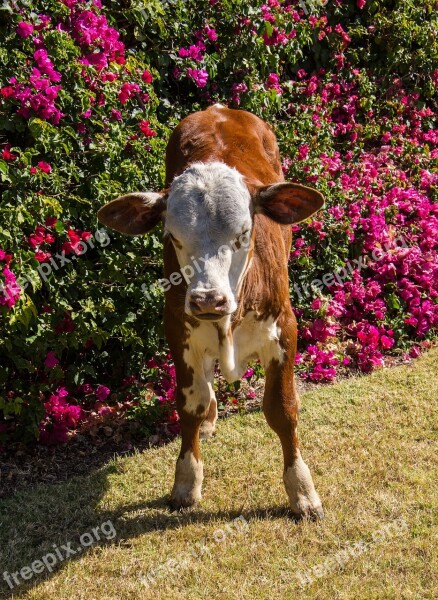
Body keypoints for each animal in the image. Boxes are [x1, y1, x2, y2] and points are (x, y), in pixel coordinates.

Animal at [99, 105, 326, 516]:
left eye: (243, 233)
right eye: (172, 236)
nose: (208, 299)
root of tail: (218, 109)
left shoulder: (285, 328)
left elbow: (282, 410)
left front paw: (302, 490)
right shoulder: (177, 327)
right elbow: (190, 403)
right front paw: (186, 480)